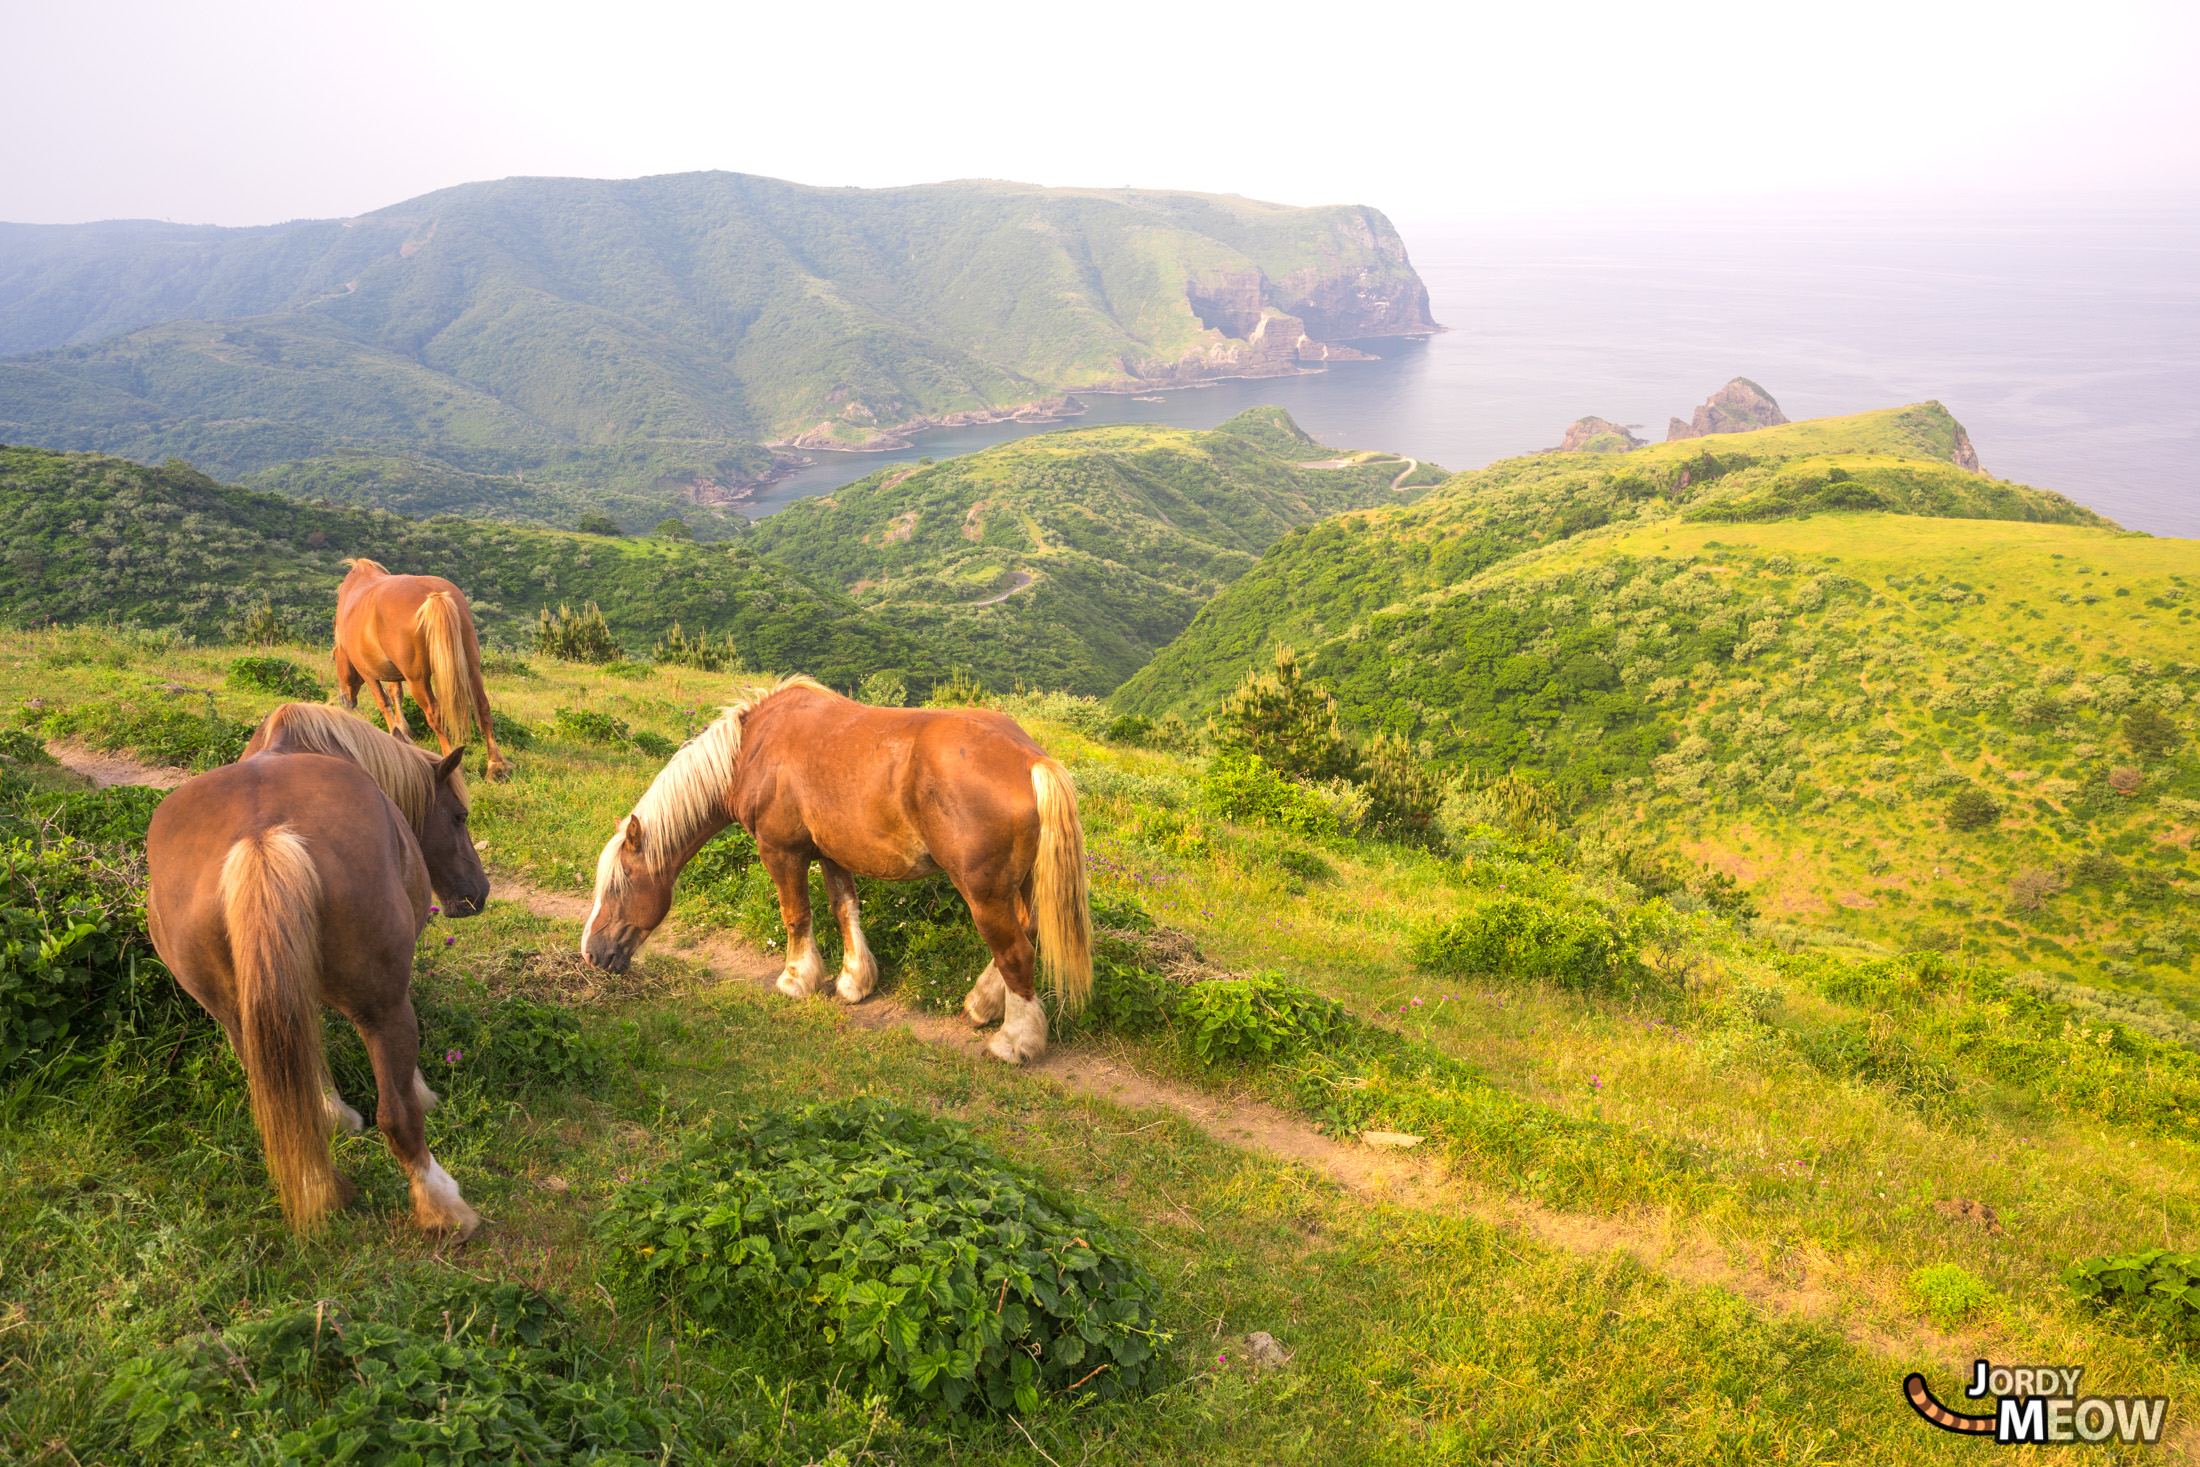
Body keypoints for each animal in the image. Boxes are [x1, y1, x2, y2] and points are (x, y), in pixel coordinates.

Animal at [151, 703, 499, 1231]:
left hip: (236, 1017)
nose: (477, 894)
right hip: (381, 1007)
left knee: (290, 1111)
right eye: (460, 817)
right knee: (397, 1115)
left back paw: (317, 1183)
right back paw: (443, 1205)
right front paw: (422, 1091)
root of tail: (261, 837)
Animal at [332, 558, 512, 787]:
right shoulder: (394, 671)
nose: (345, 699)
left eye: (334, 658)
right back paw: (496, 765)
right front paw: (402, 732)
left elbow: (384, 702)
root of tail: (434, 595)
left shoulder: (368, 673)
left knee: (435, 714)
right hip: (472, 670)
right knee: (483, 708)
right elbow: (396, 694)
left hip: (417, 680)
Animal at [585, 677, 1091, 1068]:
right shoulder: (831, 852)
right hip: (1018, 886)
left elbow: (796, 915)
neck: (753, 750)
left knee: (1016, 953)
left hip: (983, 892)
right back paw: (982, 1004)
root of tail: (1031, 760)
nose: (592, 953)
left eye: (618, 886)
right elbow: (844, 908)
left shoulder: (781, 851)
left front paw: (796, 979)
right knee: (1027, 933)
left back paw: (1014, 1042)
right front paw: (854, 981)